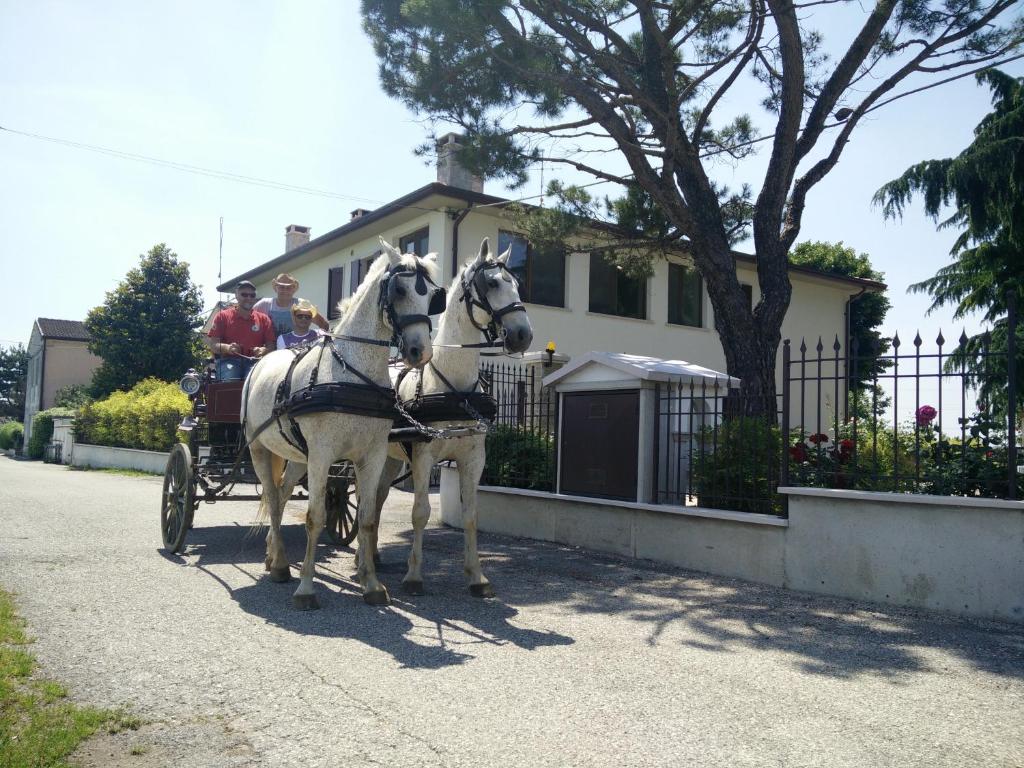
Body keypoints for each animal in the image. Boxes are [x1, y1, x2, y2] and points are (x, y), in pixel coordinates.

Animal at [245, 240, 446, 606]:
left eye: (433, 297)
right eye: (399, 290)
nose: (419, 352)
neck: (352, 374)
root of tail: (261, 361)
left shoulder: (371, 457)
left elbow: (367, 518)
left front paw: (372, 584)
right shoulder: (323, 455)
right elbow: (315, 517)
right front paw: (306, 588)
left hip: (299, 457)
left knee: (281, 495)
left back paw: (273, 557)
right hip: (260, 451)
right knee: (273, 499)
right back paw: (280, 565)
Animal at [368, 237, 532, 598]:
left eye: (517, 284)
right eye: (492, 283)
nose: (523, 335)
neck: (455, 391)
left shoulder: (473, 458)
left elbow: (470, 515)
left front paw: (476, 576)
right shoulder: (424, 457)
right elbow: (420, 512)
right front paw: (414, 576)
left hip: (390, 458)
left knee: (377, 499)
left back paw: (372, 555)